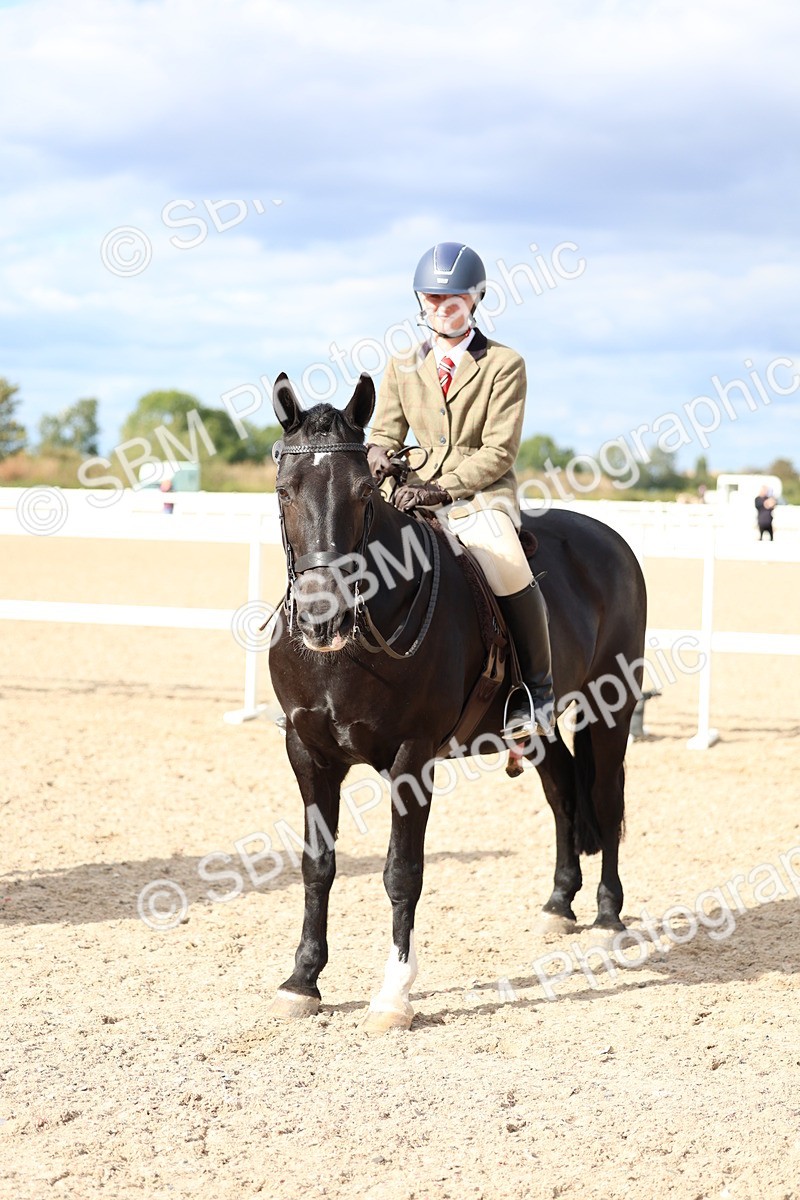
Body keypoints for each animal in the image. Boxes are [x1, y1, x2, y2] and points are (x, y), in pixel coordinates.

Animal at [267, 372, 647, 1033]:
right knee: (563, 795)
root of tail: (609, 538)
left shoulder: (412, 757)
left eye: (363, 494)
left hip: (612, 709)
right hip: (539, 729)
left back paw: (606, 917)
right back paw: (558, 903)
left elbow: (402, 872)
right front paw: (303, 981)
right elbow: (318, 865)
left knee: (603, 797)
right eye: (285, 490)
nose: (322, 617)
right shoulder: (308, 752)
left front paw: (394, 993)